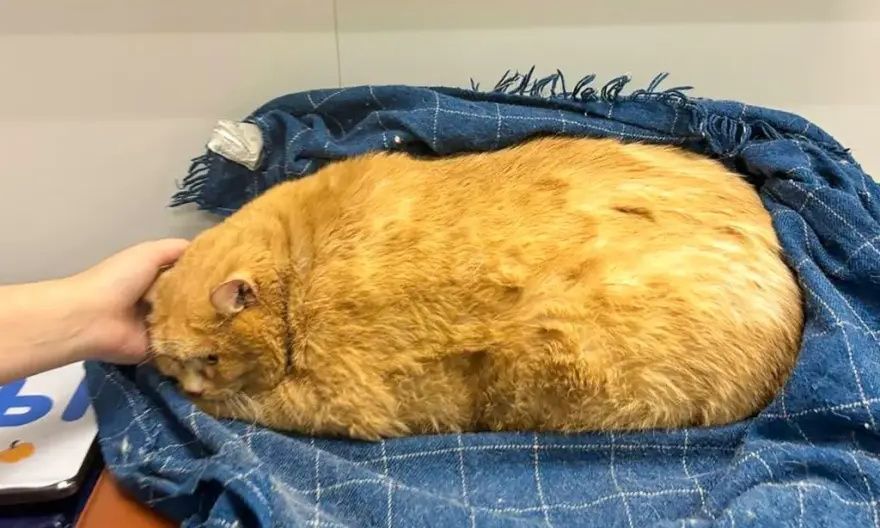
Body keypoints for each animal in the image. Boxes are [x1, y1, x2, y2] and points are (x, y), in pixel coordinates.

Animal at [147, 136, 803, 440]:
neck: (300, 258)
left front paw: (209, 404)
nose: (186, 385)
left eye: (209, 358)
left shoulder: (346, 400)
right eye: (172, 364)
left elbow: (258, 406)